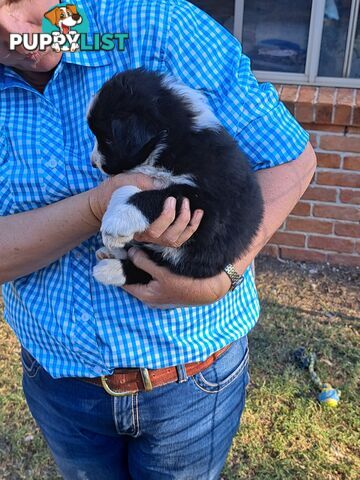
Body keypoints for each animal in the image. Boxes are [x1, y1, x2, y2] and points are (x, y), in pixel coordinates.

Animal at [86, 69, 262, 286]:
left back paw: (110, 269)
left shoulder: (210, 209)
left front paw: (117, 222)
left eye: (108, 139)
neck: (169, 147)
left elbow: (158, 195)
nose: (93, 163)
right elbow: (123, 189)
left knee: (151, 267)